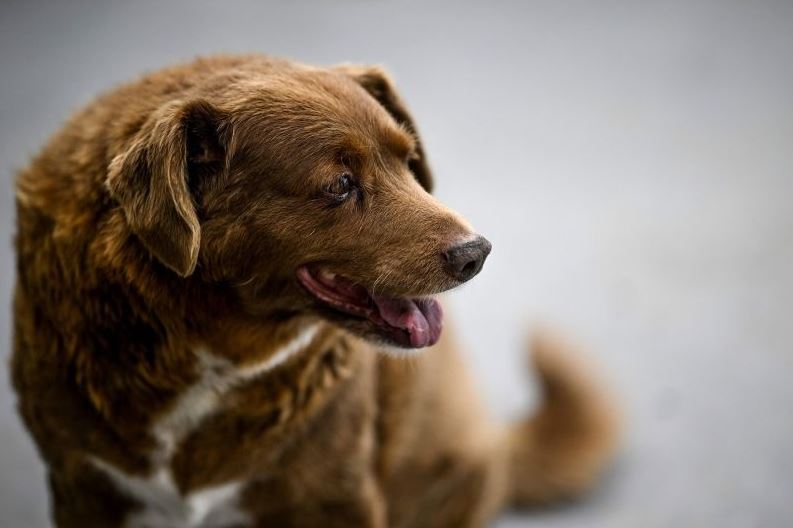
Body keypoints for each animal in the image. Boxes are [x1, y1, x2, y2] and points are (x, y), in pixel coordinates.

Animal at [10, 55, 620, 524]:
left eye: (409, 160)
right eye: (340, 185)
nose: (477, 253)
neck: (207, 350)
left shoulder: (335, 497)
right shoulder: (82, 485)